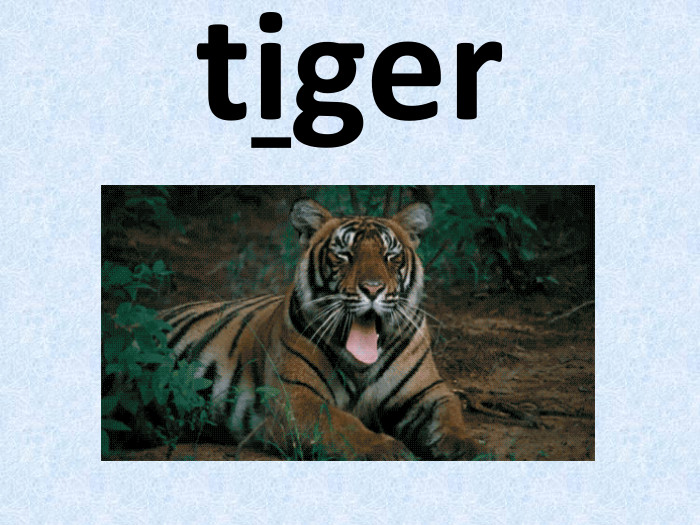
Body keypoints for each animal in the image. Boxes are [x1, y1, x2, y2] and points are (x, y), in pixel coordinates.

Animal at [159, 199, 486, 460]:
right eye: (344, 255)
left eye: (390, 256)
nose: (373, 289)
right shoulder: (296, 399)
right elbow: (344, 425)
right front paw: (388, 450)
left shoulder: (427, 391)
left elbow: (450, 418)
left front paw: (470, 448)